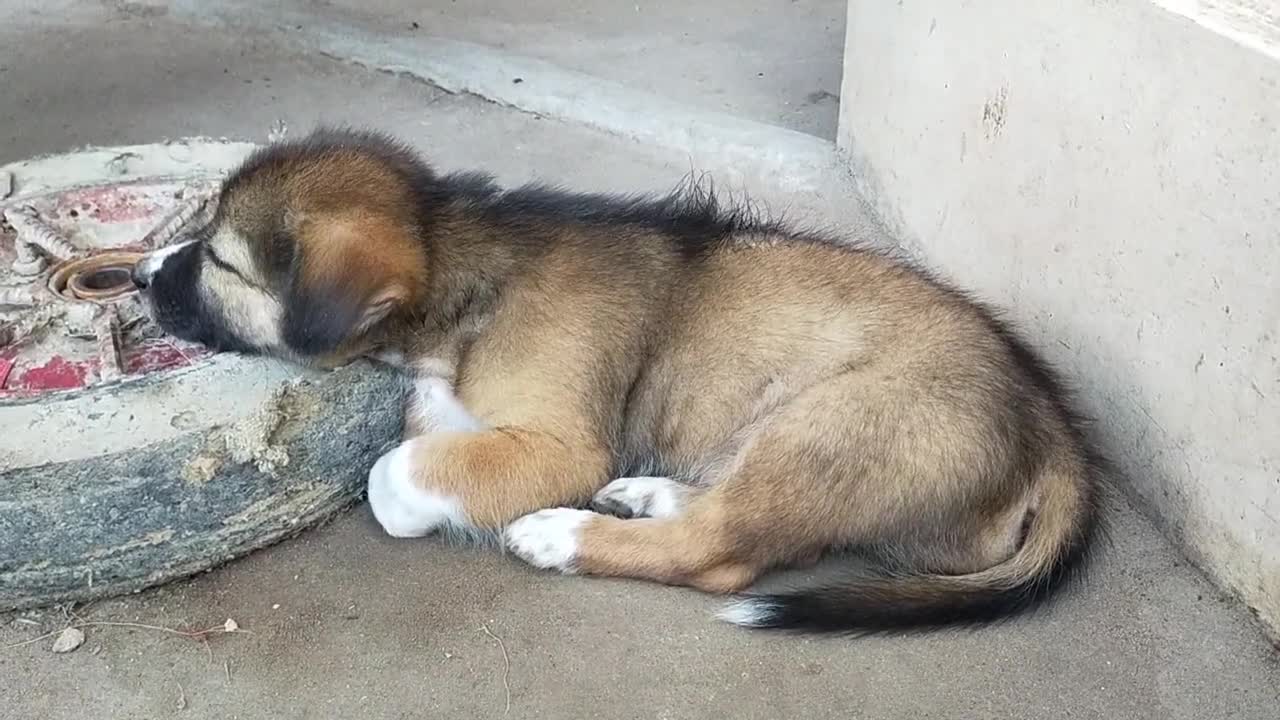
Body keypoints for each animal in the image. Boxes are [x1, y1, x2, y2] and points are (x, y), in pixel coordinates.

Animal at [135, 128, 1105, 632]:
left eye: (219, 260)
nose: (138, 277)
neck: (467, 266)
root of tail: (1054, 433)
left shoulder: (563, 444)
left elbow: (393, 474)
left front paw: (429, 499)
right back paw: (648, 493)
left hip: (829, 421)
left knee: (721, 555)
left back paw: (564, 536)